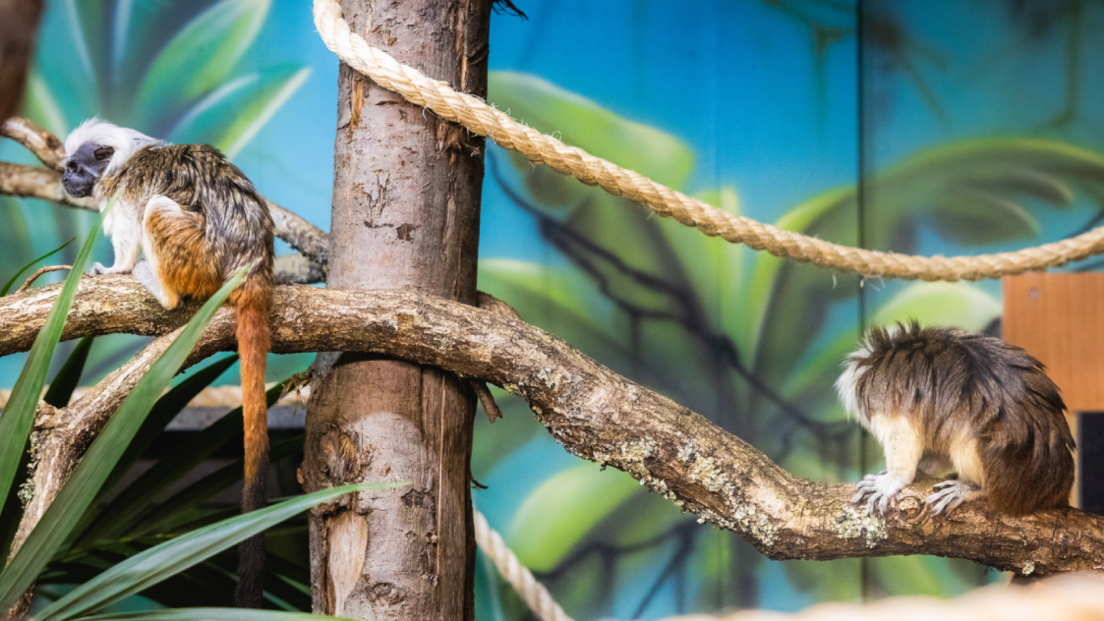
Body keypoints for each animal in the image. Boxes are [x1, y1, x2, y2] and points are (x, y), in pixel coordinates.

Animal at [61, 117, 274, 605]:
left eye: (76, 167)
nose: (65, 179)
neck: (122, 160)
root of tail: (251, 265)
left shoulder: (124, 192)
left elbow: (127, 236)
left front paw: (117, 270)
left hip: (199, 257)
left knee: (156, 211)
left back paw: (162, 290)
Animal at [834, 320, 1068, 514]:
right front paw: (921, 470)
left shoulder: (885, 395)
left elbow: (903, 434)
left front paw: (895, 479)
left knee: (968, 436)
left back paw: (975, 488)